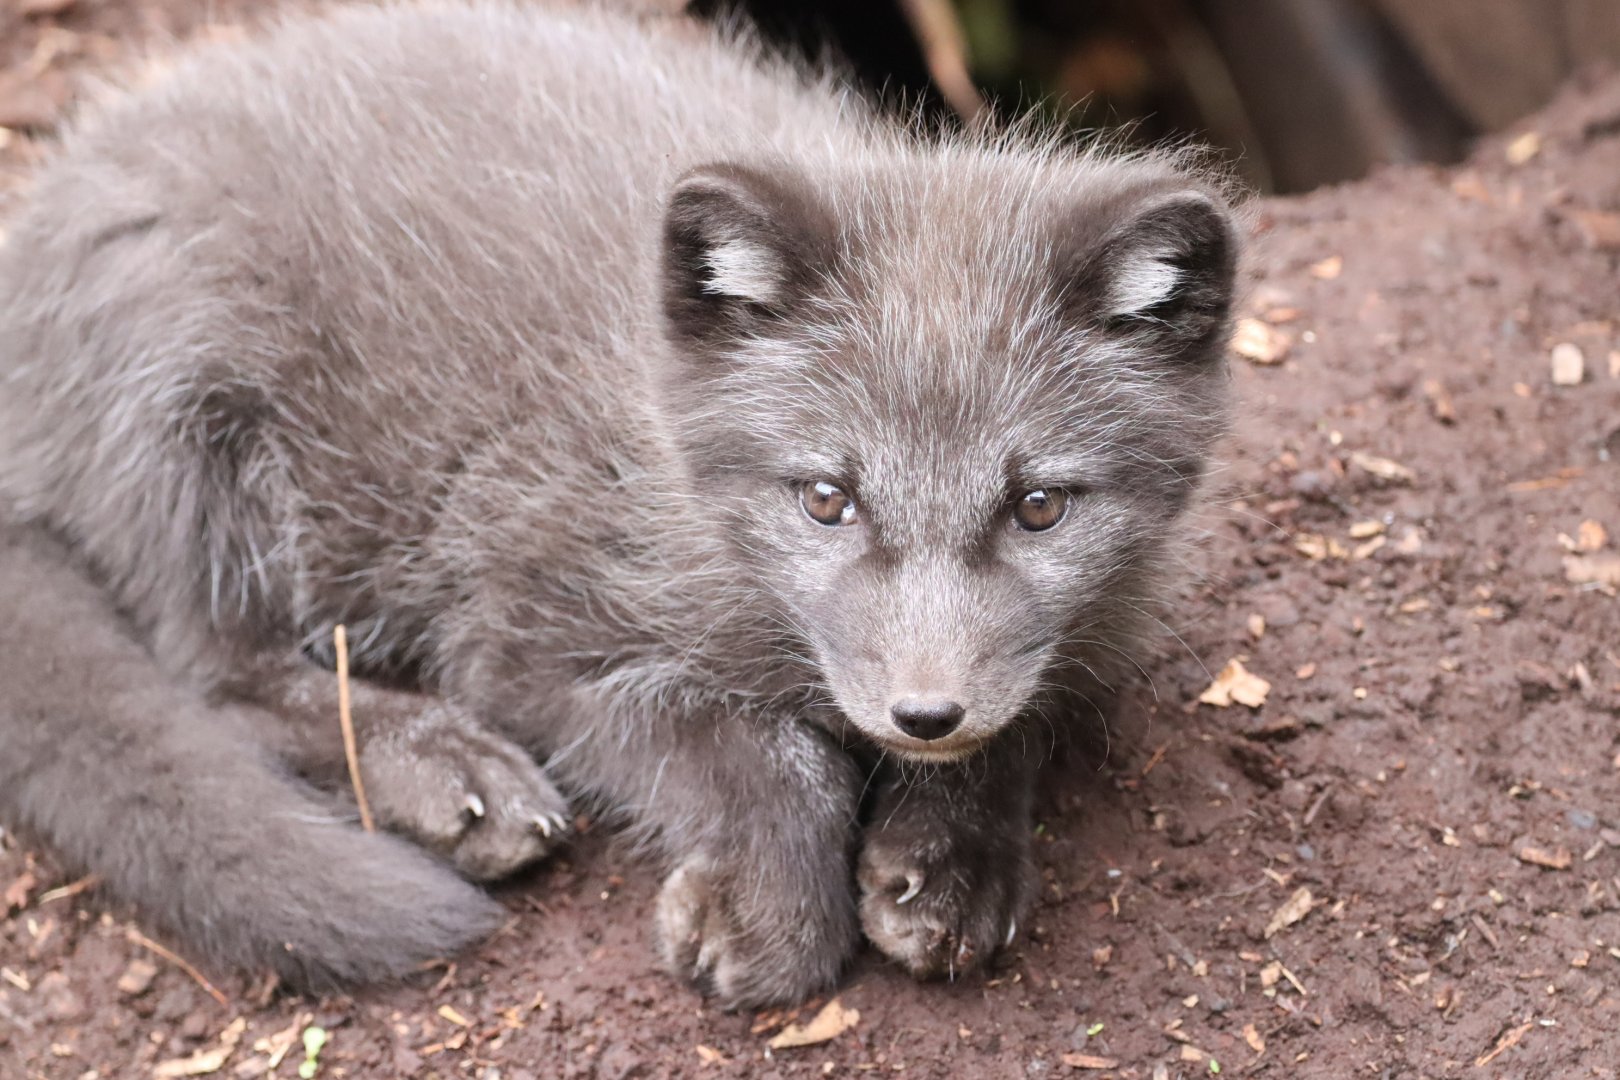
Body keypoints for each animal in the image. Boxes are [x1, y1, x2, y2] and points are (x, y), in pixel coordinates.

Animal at [0, 0, 1238, 1007]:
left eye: (1039, 507)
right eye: (826, 499)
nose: (923, 713)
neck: (670, 472)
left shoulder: (1083, 644)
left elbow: (1019, 722)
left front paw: (949, 865)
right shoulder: (522, 639)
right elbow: (766, 752)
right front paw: (770, 915)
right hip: (189, 408)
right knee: (219, 670)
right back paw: (445, 768)